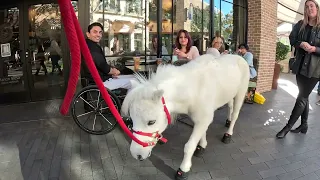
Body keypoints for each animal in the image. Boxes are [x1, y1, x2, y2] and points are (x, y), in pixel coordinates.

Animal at [121, 53, 249, 180]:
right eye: (132, 119)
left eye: (151, 122)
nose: (137, 154)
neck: (192, 89)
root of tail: (239, 56)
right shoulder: (202, 118)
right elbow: (203, 132)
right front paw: (202, 146)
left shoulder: (204, 117)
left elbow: (189, 146)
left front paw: (183, 169)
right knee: (230, 106)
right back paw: (228, 120)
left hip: (241, 92)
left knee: (236, 113)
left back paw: (228, 134)